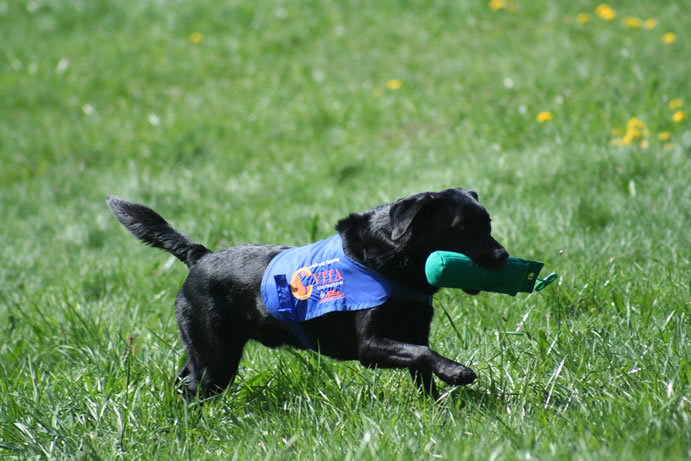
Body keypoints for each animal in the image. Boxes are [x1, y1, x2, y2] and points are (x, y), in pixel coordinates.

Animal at [106, 188, 508, 398]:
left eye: (488, 224)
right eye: (461, 228)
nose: (503, 257)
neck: (395, 262)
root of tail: (200, 255)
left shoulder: (413, 332)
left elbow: (422, 363)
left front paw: (438, 406)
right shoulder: (371, 346)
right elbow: (423, 355)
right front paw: (457, 372)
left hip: (207, 352)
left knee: (182, 379)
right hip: (216, 359)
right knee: (193, 388)